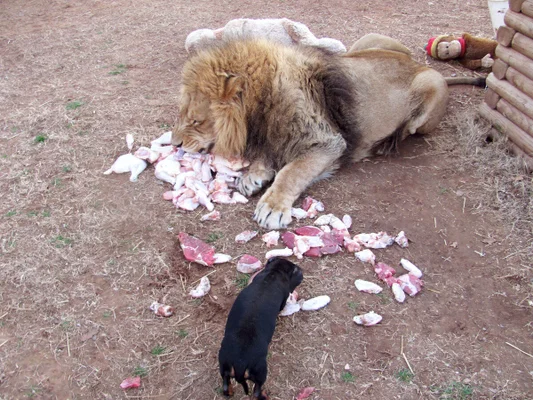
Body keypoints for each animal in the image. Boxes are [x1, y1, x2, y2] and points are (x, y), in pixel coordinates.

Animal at [174, 33, 474, 228]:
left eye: (196, 121)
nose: (174, 144)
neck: (262, 107)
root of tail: (420, 64)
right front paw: (255, 175)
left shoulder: (329, 143)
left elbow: (291, 171)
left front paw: (273, 206)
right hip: (365, 43)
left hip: (428, 93)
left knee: (408, 128)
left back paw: (387, 142)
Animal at [219, 258, 304, 398]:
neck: (274, 272)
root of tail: (239, 363)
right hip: (260, 372)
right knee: (256, 391)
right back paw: (264, 395)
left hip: (224, 367)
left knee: (226, 385)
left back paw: (229, 392)